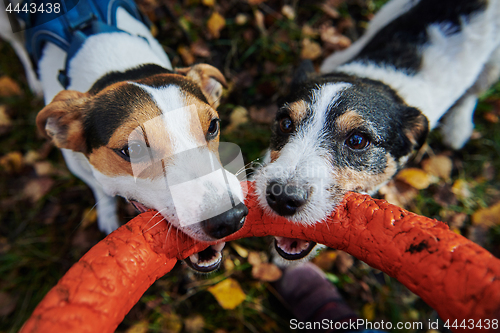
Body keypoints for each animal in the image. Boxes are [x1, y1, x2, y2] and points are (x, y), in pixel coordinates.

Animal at [0, 0, 247, 272]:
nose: (229, 218)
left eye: (213, 125)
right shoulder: (77, 165)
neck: (115, 67)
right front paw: (107, 214)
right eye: (132, 150)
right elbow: (99, 187)